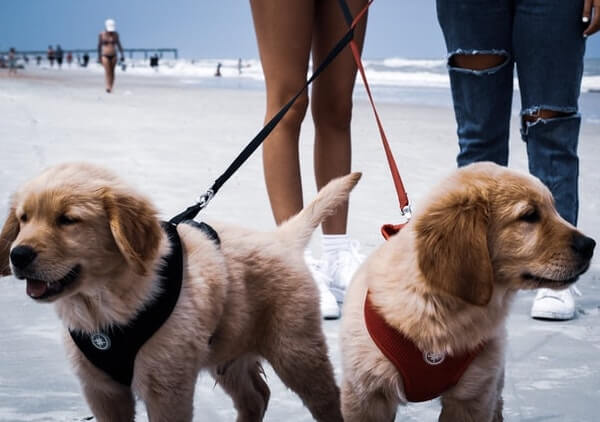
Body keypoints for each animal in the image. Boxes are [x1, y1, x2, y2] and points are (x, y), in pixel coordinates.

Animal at [1, 162, 360, 422]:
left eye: (68, 220)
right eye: (23, 218)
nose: (17, 255)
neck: (102, 302)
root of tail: (281, 238)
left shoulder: (166, 387)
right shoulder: (101, 390)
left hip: (296, 350)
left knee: (329, 401)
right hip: (227, 350)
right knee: (256, 397)